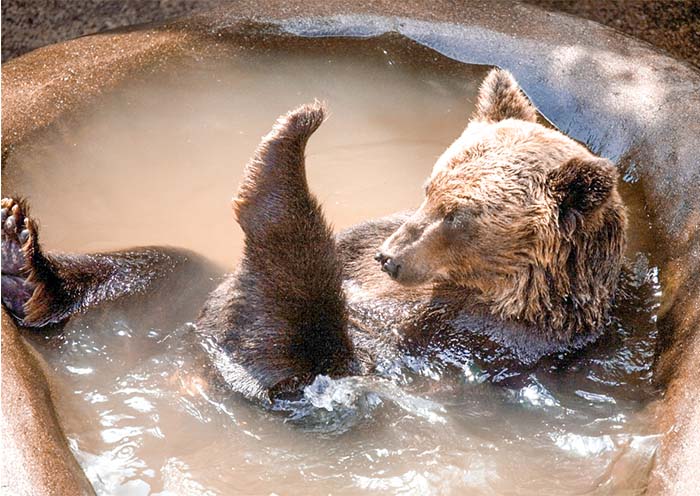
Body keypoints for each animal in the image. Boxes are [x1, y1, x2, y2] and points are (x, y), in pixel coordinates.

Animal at [1, 68, 627, 402]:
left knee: (299, 322)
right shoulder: (369, 240)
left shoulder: (480, 339)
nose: (390, 259)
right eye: (430, 187)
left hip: (291, 360)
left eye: (461, 215)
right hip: (190, 290)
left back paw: (284, 155)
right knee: (158, 266)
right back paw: (22, 260)